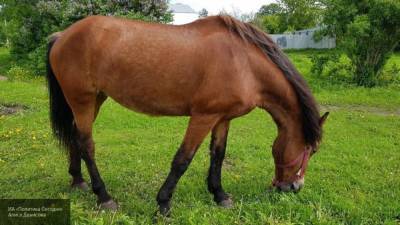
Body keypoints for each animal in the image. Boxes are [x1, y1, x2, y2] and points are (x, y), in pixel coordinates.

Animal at [46, 14, 328, 215]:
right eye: (311, 149)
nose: (294, 187)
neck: (244, 64)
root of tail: (63, 35)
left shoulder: (222, 118)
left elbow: (218, 156)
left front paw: (220, 195)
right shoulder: (203, 116)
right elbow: (183, 159)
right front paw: (163, 203)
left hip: (95, 99)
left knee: (76, 137)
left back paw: (78, 181)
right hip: (82, 100)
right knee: (87, 144)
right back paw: (104, 197)